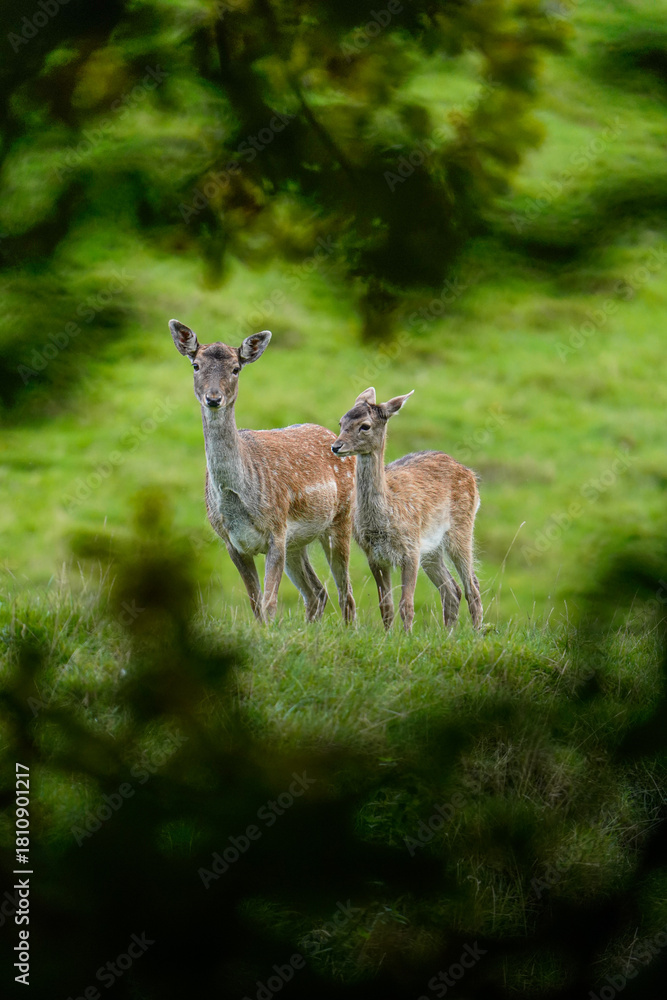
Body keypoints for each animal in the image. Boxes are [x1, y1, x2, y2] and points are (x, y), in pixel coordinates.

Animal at [169, 319, 356, 624]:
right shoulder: (231, 542)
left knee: (346, 593)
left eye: (236, 368)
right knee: (317, 592)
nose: (213, 398)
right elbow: (255, 604)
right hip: (298, 543)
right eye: (195, 365)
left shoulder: (276, 530)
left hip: (340, 520)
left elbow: (269, 604)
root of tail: (334, 437)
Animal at [331, 387, 482, 632]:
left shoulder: (410, 548)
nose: (336, 446)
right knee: (452, 589)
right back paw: (449, 634)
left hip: (461, 529)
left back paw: (477, 634)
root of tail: (470, 474)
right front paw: (388, 636)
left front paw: (407, 636)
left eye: (365, 425)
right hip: (431, 548)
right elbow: (386, 605)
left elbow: (406, 604)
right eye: (341, 422)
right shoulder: (373, 555)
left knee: (472, 586)